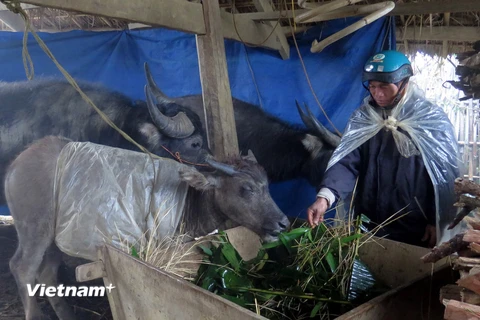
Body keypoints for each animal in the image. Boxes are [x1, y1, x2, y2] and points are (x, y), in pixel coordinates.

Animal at [5, 135, 286, 320]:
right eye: (245, 188)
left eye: (267, 185)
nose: (282, 223)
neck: (188, 201)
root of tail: (15, 166)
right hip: (34, 229)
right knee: (22, 267)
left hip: (53, 237)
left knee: (46, 273)